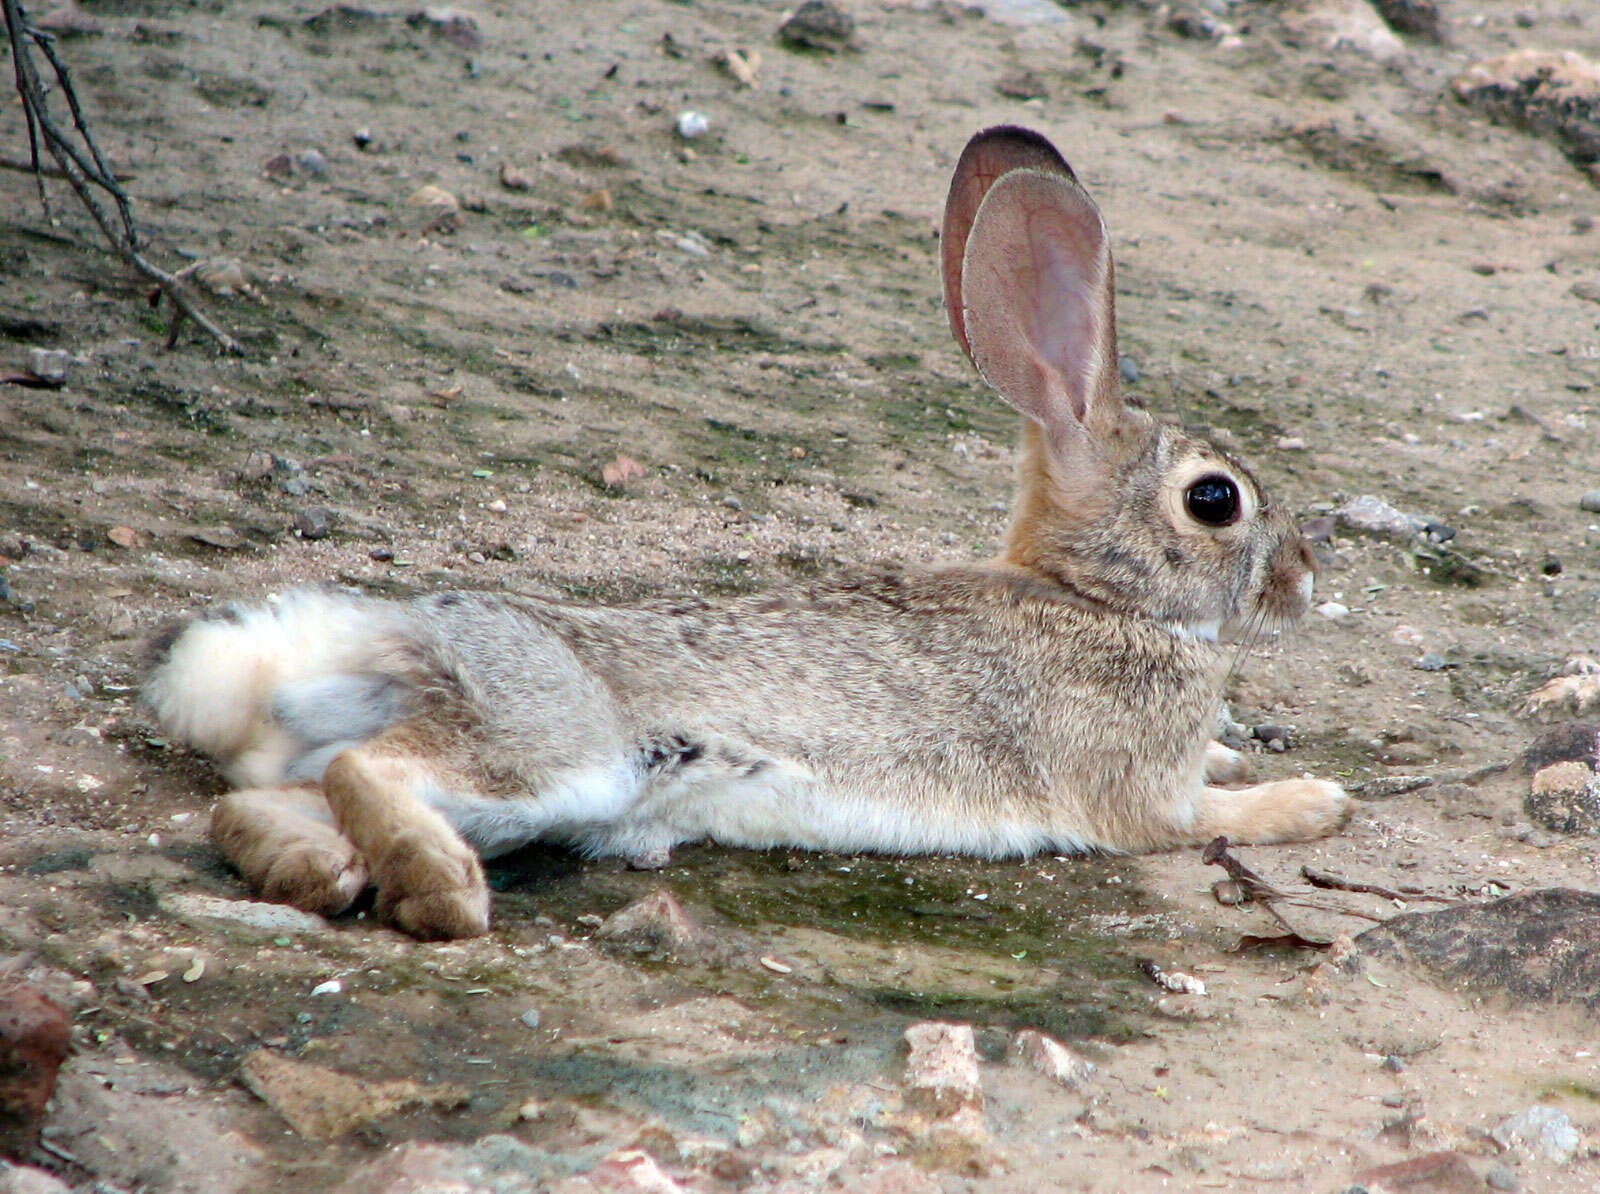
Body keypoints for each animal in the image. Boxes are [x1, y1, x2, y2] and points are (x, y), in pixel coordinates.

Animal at [144, 125, 1350, 934]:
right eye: (1215, 500)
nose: (1301, 575)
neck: (1097, 597)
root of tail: (361, 641)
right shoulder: (1135, 795)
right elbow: (1212, 815)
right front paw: (1313, 800)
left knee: (257, 805)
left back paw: (322, 875)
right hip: (557, 749)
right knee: (370, 768)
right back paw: (438, 890)